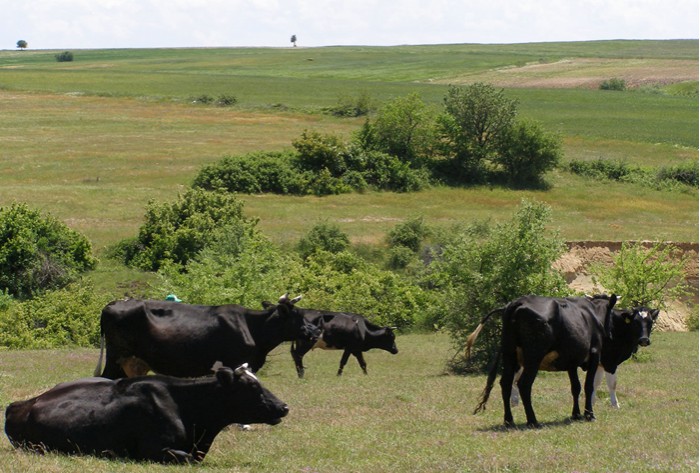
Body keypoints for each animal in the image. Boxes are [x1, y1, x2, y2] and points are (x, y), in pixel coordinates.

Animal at [95, 294, 320, 378]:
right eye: (298, 315)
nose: (316, 331)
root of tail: (115, 302)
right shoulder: (235, 362)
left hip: (133, 361)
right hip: (116, 356)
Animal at [464, 294, 616, 426]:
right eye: (611, 315)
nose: (610, 334)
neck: (593, 314)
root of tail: (518, 302)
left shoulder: (571, 362)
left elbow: (575, 387)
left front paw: (576, 414)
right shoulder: (594, 355)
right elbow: (588, 386)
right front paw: (589, 415)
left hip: (509, 354)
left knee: (506, 383)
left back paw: (509, 421)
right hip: (533, 357)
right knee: (524, 384)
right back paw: (533, 421)